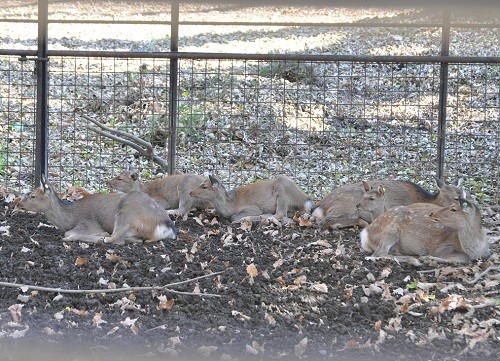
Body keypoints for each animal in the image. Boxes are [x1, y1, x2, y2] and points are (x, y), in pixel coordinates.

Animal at [15, 175, 177, 245]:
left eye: (33, 196)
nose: (17, 204)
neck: (70, 218)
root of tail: (167, 227)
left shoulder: (89, 223)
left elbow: (69, 232)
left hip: (127, 211)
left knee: (114, 239)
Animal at [360, 195, 492, 262]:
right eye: (452, 206)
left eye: (453, 209)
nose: (432, 214)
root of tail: (365, 234)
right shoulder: (442, 247)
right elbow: (462, 258)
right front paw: (427, 257)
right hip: (391, 229)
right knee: (379, 252)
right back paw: (414, 260)